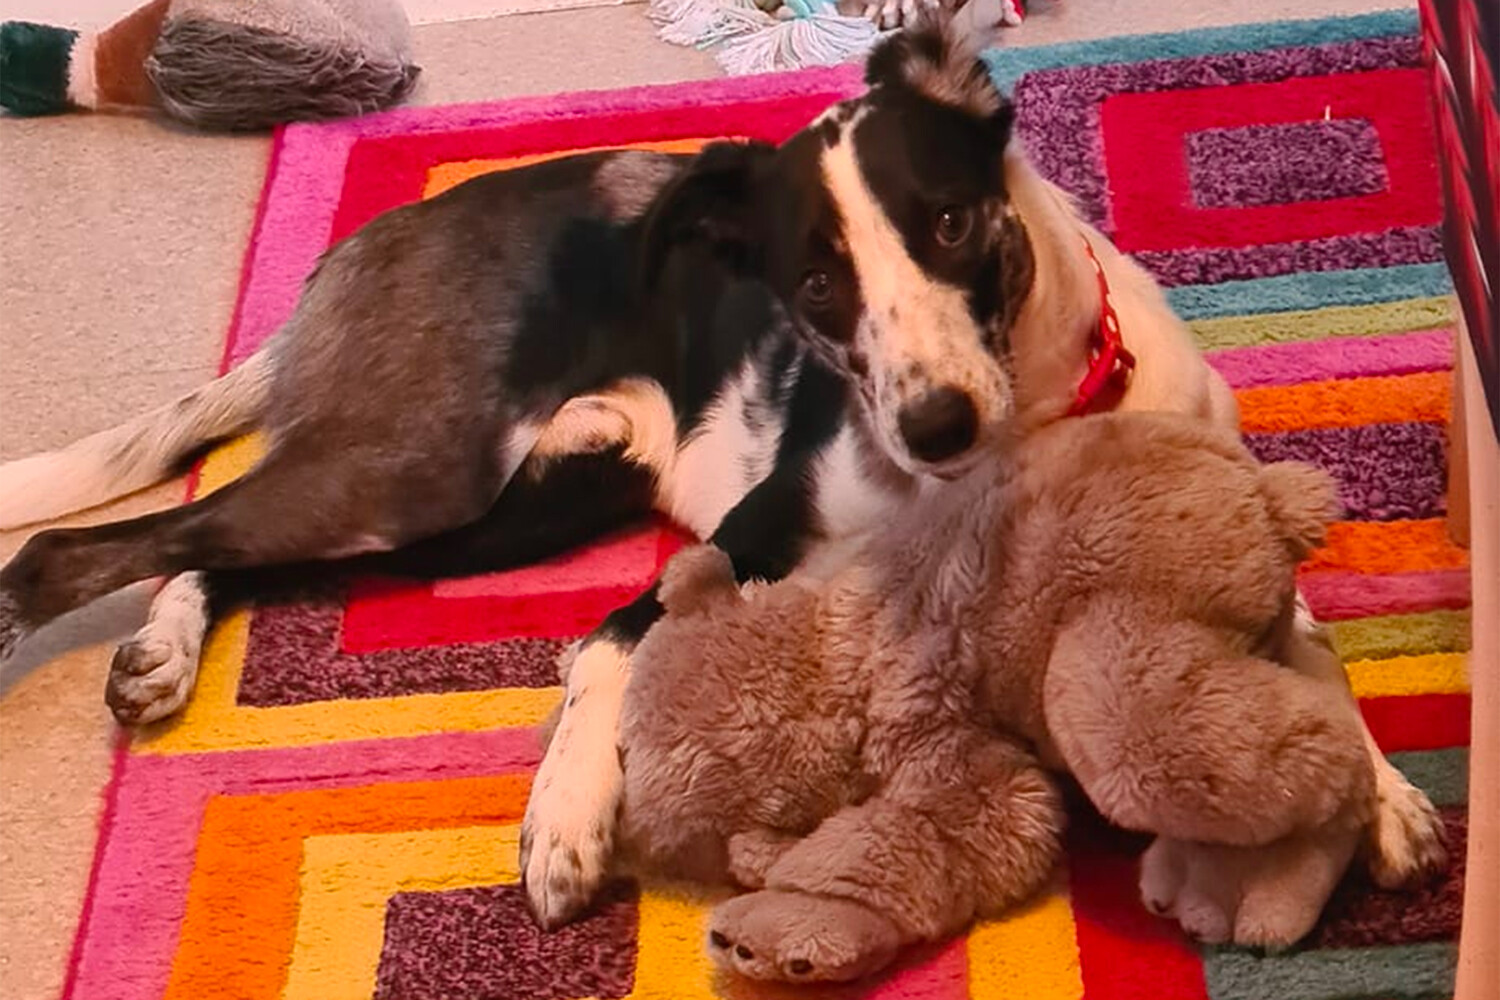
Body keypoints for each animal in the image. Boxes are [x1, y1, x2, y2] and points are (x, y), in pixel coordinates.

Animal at [0, 21, 1444, 930]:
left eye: (952, 224)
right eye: (814, 286)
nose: (931, 426)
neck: (1021, 443)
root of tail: (356, 250)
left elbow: (1311, 646)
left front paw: (1376, 790)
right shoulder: (750, 534)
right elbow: (603, 644)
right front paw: (566, 820)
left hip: (503, 506)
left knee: (223, 549)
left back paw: (164, 649)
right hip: (418, 469)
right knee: (100, 546)